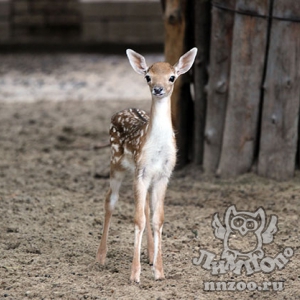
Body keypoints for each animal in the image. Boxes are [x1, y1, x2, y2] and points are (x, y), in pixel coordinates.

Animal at [96, 47, 198, 284]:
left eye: (172, 77)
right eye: (148, 77)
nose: (158, 89)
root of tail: (118, 113)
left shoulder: (163, 175)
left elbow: (157, 219)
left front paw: (159, 271)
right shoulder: (141, 172)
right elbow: (138, 220)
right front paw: (135, 275)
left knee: (146, 207)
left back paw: (151, 255)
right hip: (116, 163)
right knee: (110, 200)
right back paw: (101, 257)